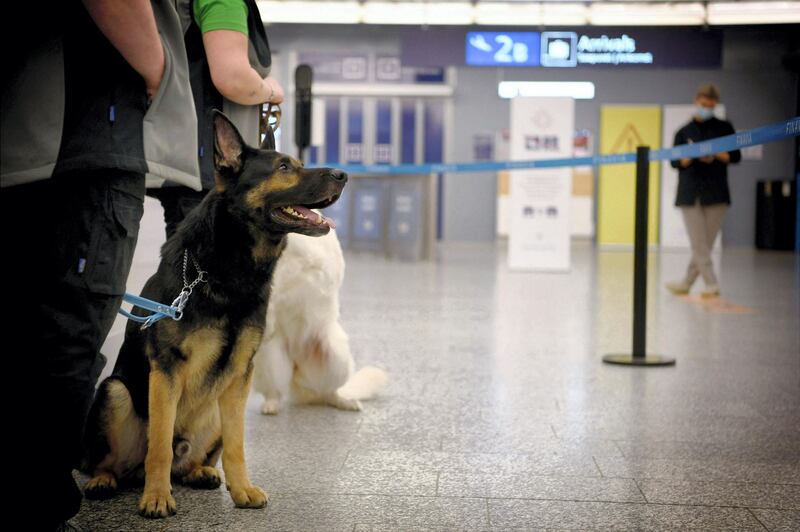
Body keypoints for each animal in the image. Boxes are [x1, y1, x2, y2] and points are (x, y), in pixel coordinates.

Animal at [82, 111, 346, 516]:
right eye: (284, 167)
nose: (343, 174)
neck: (228, 270)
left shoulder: (239, 376)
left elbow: (237, 447)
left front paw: (242, 489)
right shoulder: (166, 371)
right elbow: (159, 445)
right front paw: (156, 497)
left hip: (215, 410)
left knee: (195, 458)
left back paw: (200, 471)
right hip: (115, 392)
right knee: (117, 458)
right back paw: (104, 480)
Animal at [252, 229, 386, 416]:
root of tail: (296, 364)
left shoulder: (312, 266)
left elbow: (281, 281)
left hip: (336, 356)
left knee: (329, 392)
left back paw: (345, 402)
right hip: (269, 360)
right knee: (275, 391)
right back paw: (272, 405)